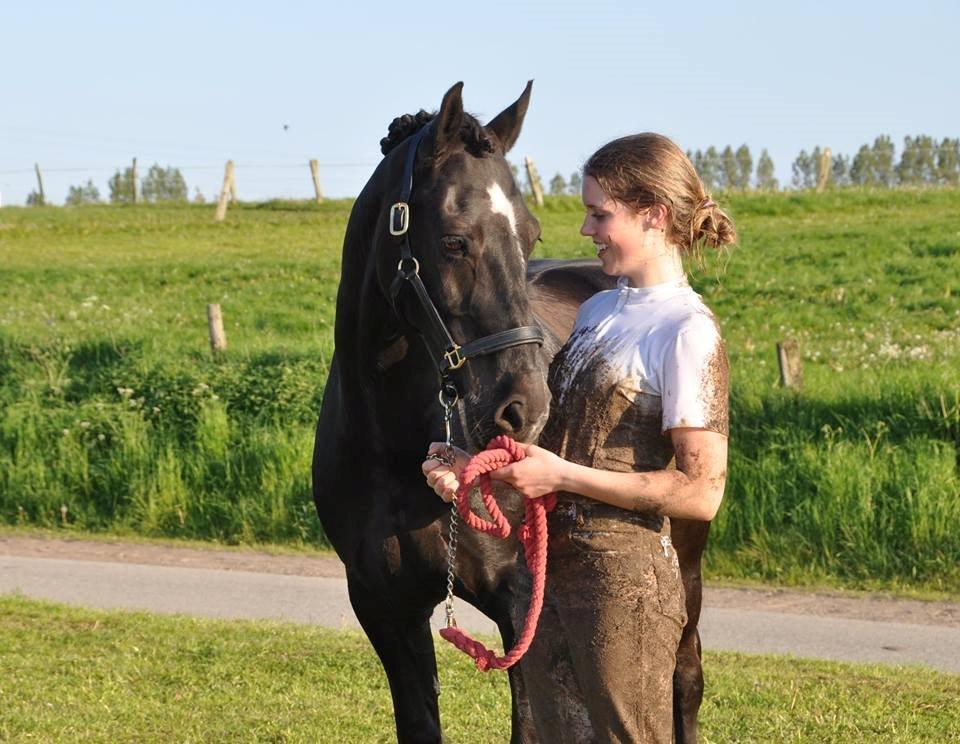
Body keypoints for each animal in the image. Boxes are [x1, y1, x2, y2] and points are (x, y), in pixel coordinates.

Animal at [316, 81, 712, 744]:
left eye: (530, 237)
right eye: (453, 239)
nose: (524, 407)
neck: (389, 444)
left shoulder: (522, 604)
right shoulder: (384, 609)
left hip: (685, 566)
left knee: (682, 679)